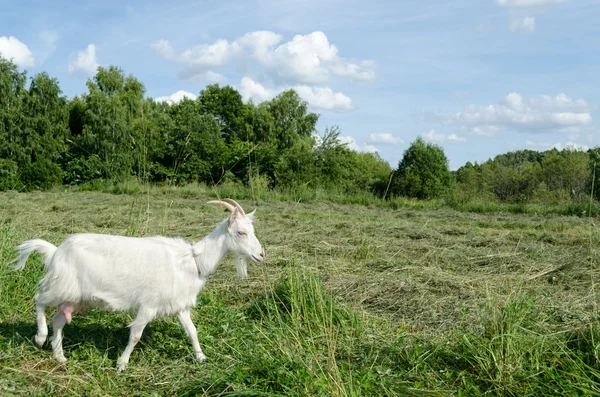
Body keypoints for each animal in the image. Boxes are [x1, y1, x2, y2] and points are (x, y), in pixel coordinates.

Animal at [10, 200, 264, 370]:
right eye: (241, 232)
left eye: (251, 230)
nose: (261, 254)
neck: (192, 260)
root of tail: (55, 252)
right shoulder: (149, 305)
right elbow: (135, 335)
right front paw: (121, 364)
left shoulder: (179, 304)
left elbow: (192, 331)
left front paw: (201, 358)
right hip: (63, 286)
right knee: (39, 300)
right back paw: (40, 338)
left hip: (74, 298)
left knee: (58, 320)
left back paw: (60, 356)